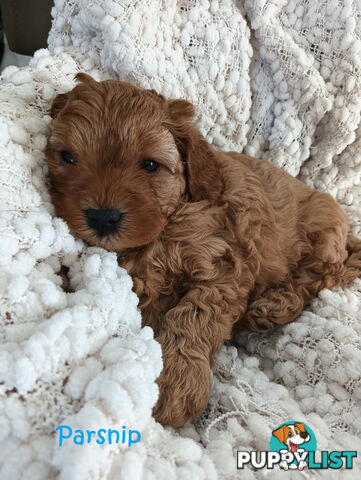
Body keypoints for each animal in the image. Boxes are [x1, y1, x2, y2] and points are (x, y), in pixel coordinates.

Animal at [47, 74, 360, 428]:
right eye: (68, 158)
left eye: (150, 165)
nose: (103, 217)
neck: (168, 222)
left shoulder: (224, 265)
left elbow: (192, 316)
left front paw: (175, 382)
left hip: (322, 232)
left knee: (315, 279)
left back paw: (273, 306)